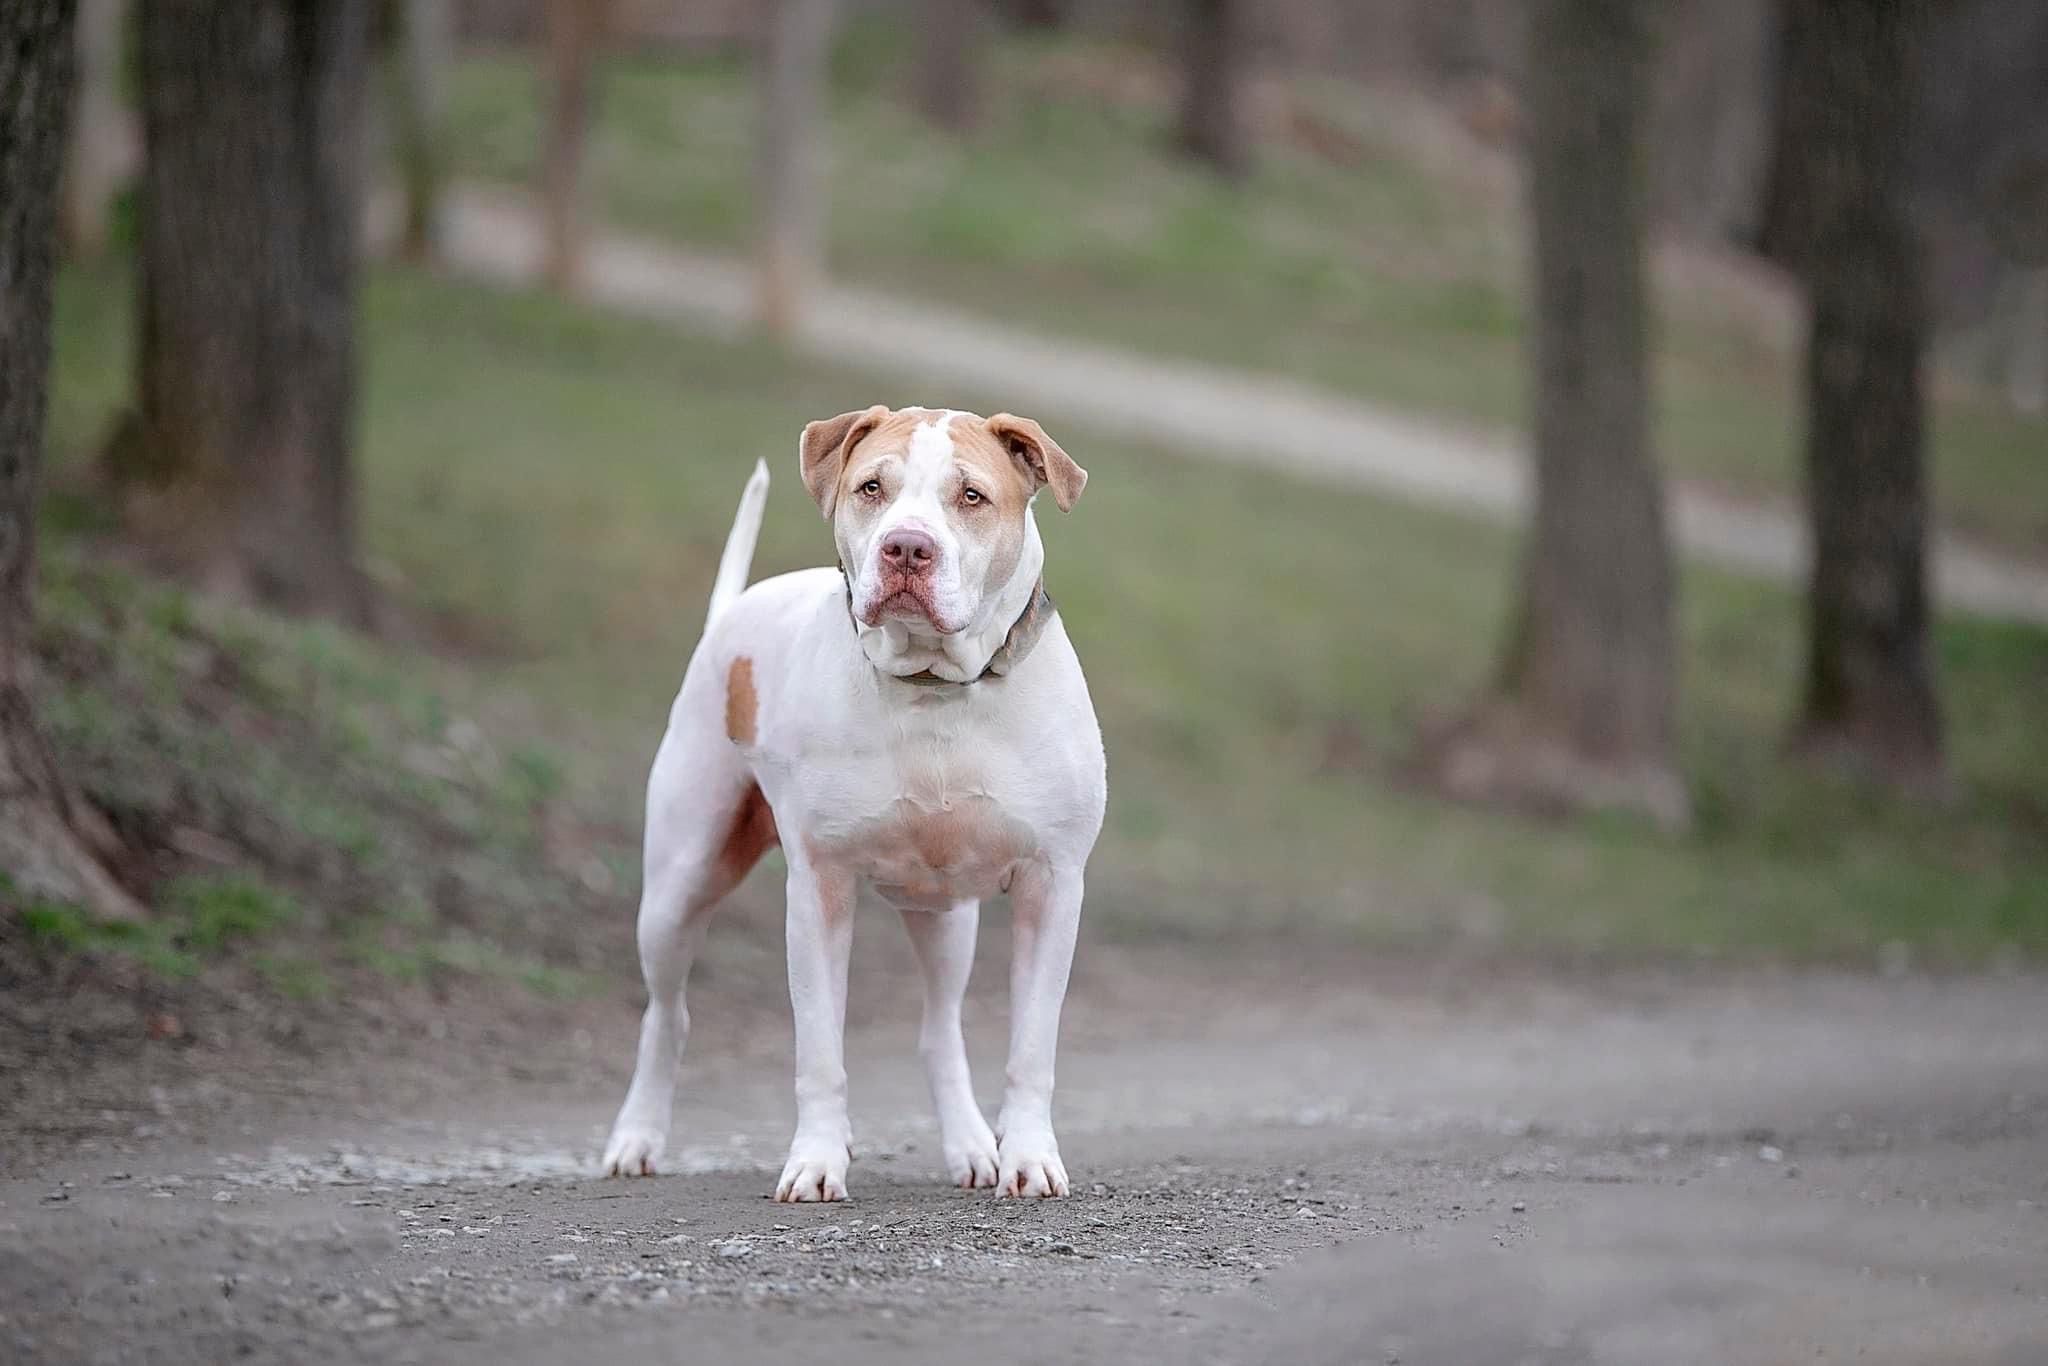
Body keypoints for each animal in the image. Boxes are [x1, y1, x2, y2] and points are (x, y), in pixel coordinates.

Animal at [598, 411, 1105, 1204]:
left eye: (971, 496)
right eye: (872, 487)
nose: (907, 547)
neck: (936, 688)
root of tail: (730, 615)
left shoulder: (1052, 887)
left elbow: (1032, 1046)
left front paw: (1027, 1158)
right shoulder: (820, 888)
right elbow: (819, 1048)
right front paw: (816, 1161)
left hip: (945, 917)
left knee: (939, 1028)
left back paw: (970, 1147)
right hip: (679, 886)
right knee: (667, 1014)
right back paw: (637, 1137)